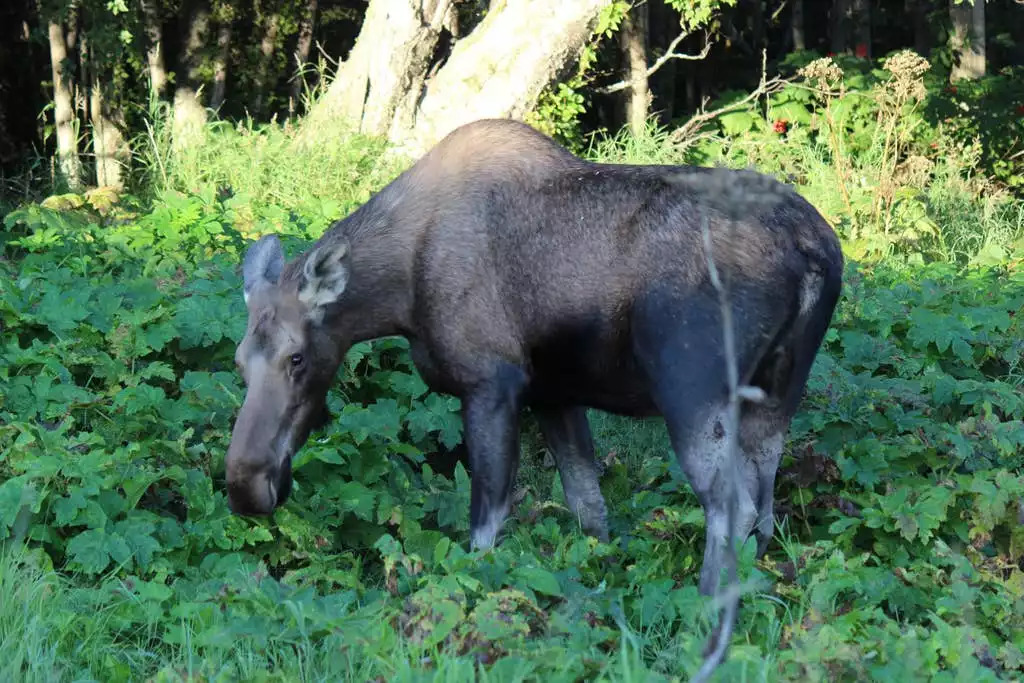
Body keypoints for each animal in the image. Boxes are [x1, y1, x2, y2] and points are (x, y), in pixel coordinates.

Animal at [224, 118, 843, 598]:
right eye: (238, 361)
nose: (247, 487)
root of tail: (816, 253)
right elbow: (589, 509)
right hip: (777, 395)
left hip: (693, 390)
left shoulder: (492, 383)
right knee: (766, 507)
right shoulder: (554, 393)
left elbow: (485, 527)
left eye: (297, 358)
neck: (400, 294)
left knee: (732, 508)